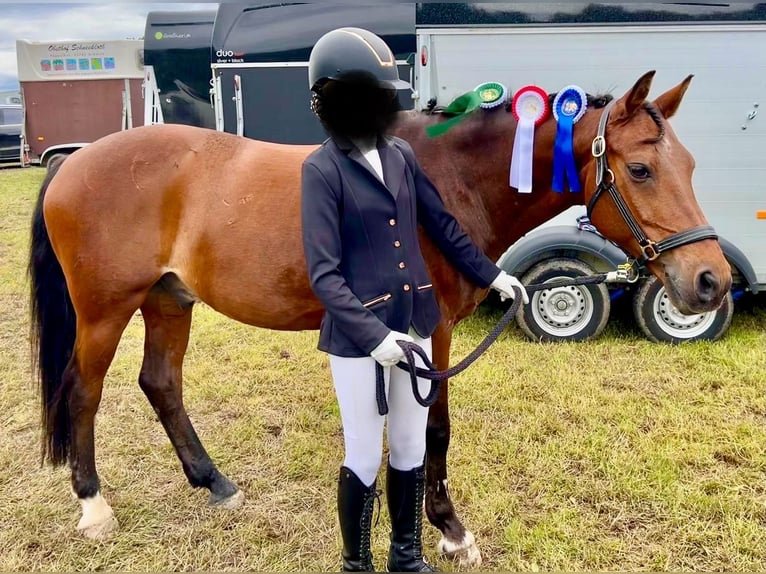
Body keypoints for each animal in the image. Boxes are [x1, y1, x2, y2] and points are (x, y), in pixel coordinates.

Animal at [28, 71, 731, 567]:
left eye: (693, 167)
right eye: (640, 169)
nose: (711, 282)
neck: (448, 177)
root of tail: (74, 161)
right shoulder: (429, 331)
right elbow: (434, 431)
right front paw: (450, 530)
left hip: (168, 301)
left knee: (161, 384)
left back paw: (215, 483)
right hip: (105, 311)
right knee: (85, 392)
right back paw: (94, 508)